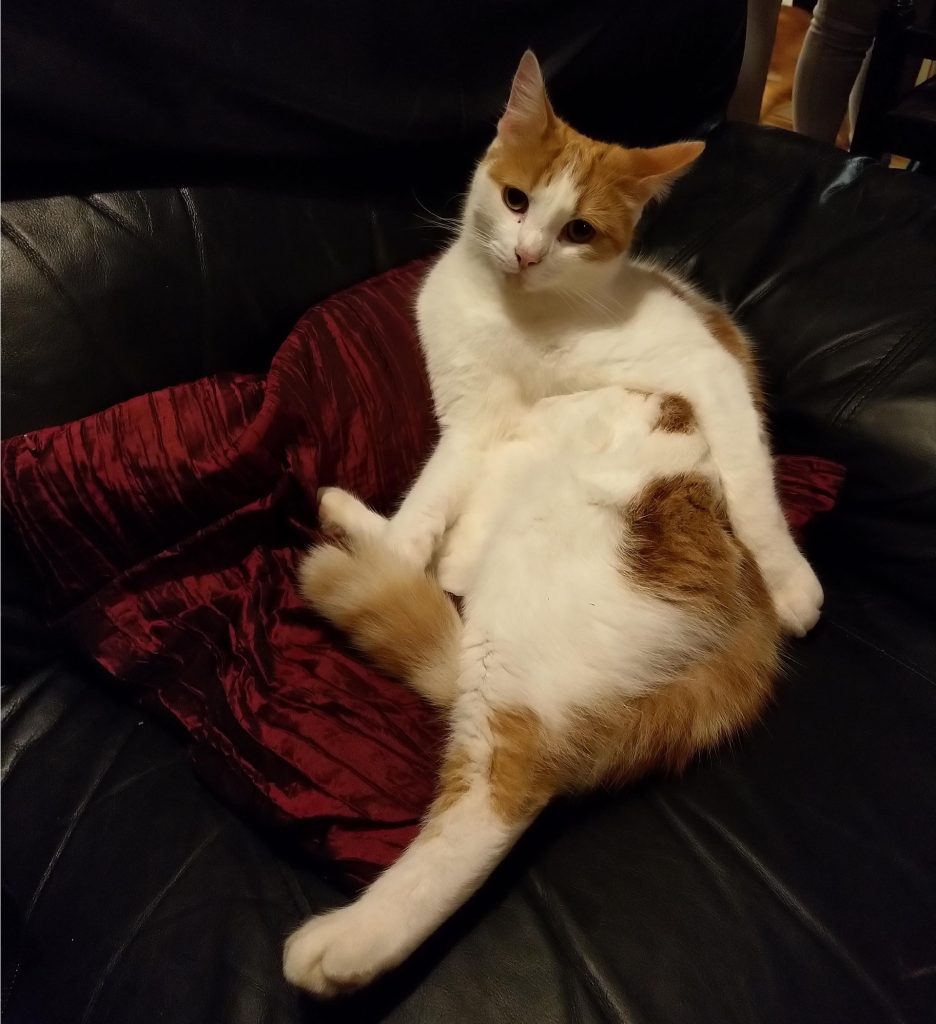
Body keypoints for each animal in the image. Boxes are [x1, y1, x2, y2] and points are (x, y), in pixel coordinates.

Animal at [282, 49, 819, 999]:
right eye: (517, 200)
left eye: (580, 231)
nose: (528, 254)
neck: (519, 318)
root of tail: (740, 649)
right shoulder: (470, 417)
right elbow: (431, 501)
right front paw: (396, 535)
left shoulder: (707, 371)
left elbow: (757, 489)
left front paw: (794, 580)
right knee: (450, 581)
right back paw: (359, 525)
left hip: (533, 627)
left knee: (499, 789)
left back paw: (347, 945)